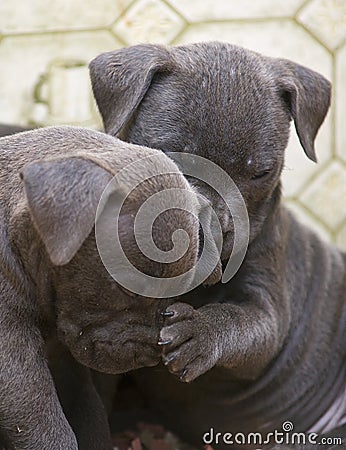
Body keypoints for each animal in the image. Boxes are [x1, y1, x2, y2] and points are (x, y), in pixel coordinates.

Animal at [0, 125, 216, 450]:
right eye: (129, 289)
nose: (153, 353)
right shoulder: (13, 356)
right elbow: (43, 422)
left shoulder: (65, 361)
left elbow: (90, 413)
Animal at [90, 41, 346, 446]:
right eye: (169, 157)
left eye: (261, 173)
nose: (210, 231)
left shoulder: (268, 305)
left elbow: (244, 323)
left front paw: (200, 331)